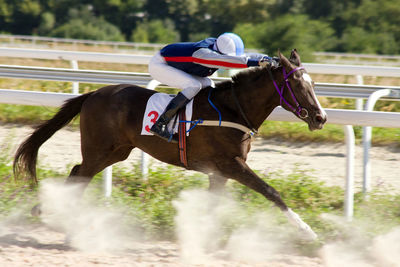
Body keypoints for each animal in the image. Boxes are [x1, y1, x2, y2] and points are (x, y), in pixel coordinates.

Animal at [14, 50, 326, 241]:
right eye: (298, 85)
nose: (321, 117)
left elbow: (213, 204)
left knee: (77, 174)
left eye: (313, 84)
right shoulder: (231, 164)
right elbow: (271, 191)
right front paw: (306, 230)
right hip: (99, 149)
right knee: (80, 175)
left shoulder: (219, 172)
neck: (234, 109)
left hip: (116, 152)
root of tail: (93, 94)